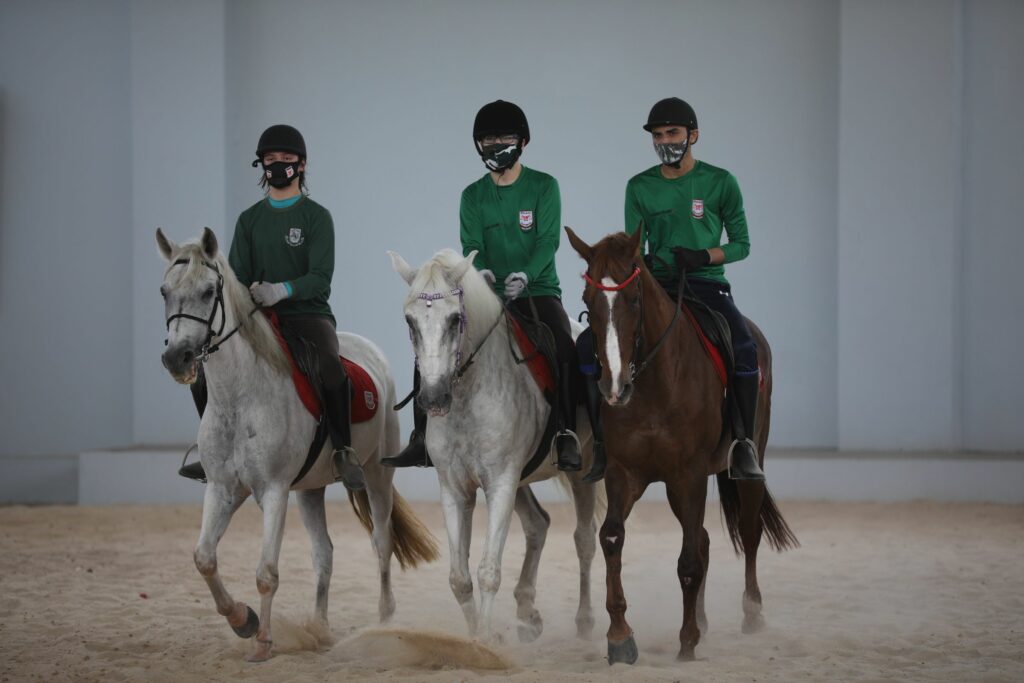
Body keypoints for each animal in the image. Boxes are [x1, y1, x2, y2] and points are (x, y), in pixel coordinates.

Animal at [157, 229, 438, 663]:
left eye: (208, 291)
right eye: (164, 291)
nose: (178, 358)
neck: (240, 396)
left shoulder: (273, 491)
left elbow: (266, 573)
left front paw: (262, 642)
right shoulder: (222, 489)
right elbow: (204, 559)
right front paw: (243, 621)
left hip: (377, 476)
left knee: (382, 542)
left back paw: (383, 622)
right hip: (309, 489)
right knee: (324, 553)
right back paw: (319, 627)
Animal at [389, 248, 598, 643]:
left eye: (455, 319)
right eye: (409, 321)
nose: (434, 397)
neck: (469, 395)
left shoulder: (500, 483)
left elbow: (488, 571)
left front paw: (485, 641)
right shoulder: (456, 488)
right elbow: (459, 578)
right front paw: (473, 639)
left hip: (581, 473)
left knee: (585, 539)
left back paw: (585, 620)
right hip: (521, 479)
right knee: (538, 524)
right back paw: (528, 613)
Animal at [565, 228, 794, 663]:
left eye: (634, 299)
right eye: (587, 301)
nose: (613, 387)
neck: (655, 382)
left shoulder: (689, 475)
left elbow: (688, 561)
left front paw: (686, 641)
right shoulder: (624, 472)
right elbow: (612, 537)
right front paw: (619, 636)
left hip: (744, 463)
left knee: (748, 529)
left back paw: (752, 613)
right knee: (702, 538)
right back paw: (703, 619)